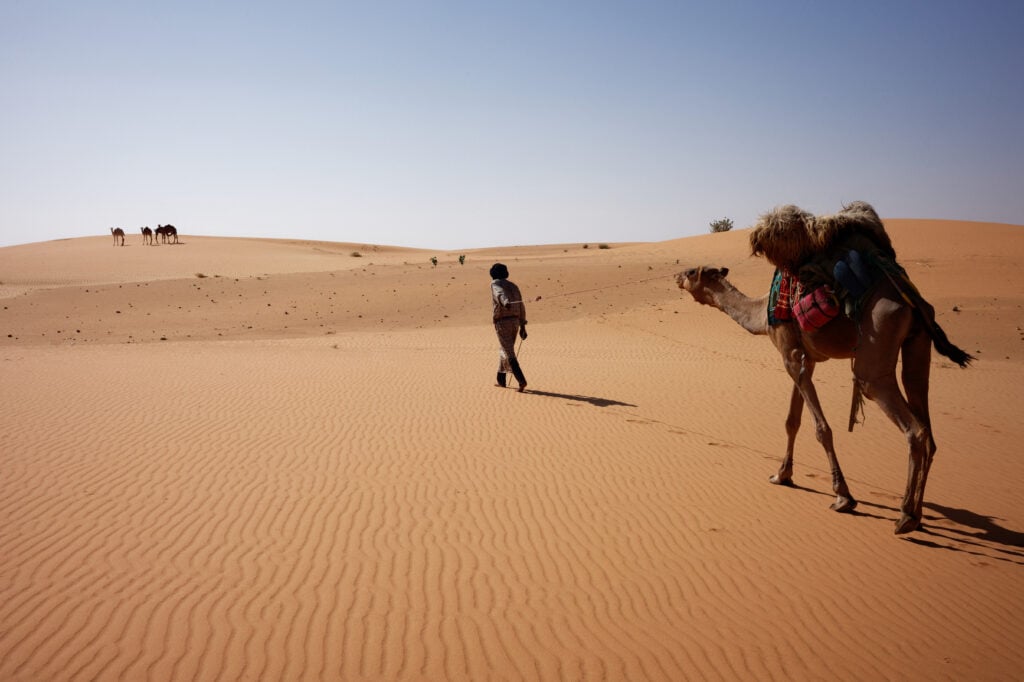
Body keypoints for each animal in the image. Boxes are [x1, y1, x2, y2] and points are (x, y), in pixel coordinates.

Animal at [675, 201, 970, 532]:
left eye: (691, 272)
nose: (676, 275)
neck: (762, 314)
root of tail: (910, 299)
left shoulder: (790, 356)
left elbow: (821, 428)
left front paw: (843, 497)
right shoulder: (803, 358)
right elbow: (792, 420)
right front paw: (781, 475)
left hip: (877, 345)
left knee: (908, 422)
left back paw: (905, 516)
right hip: (918, 343)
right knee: (924, 416)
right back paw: (917, 516)